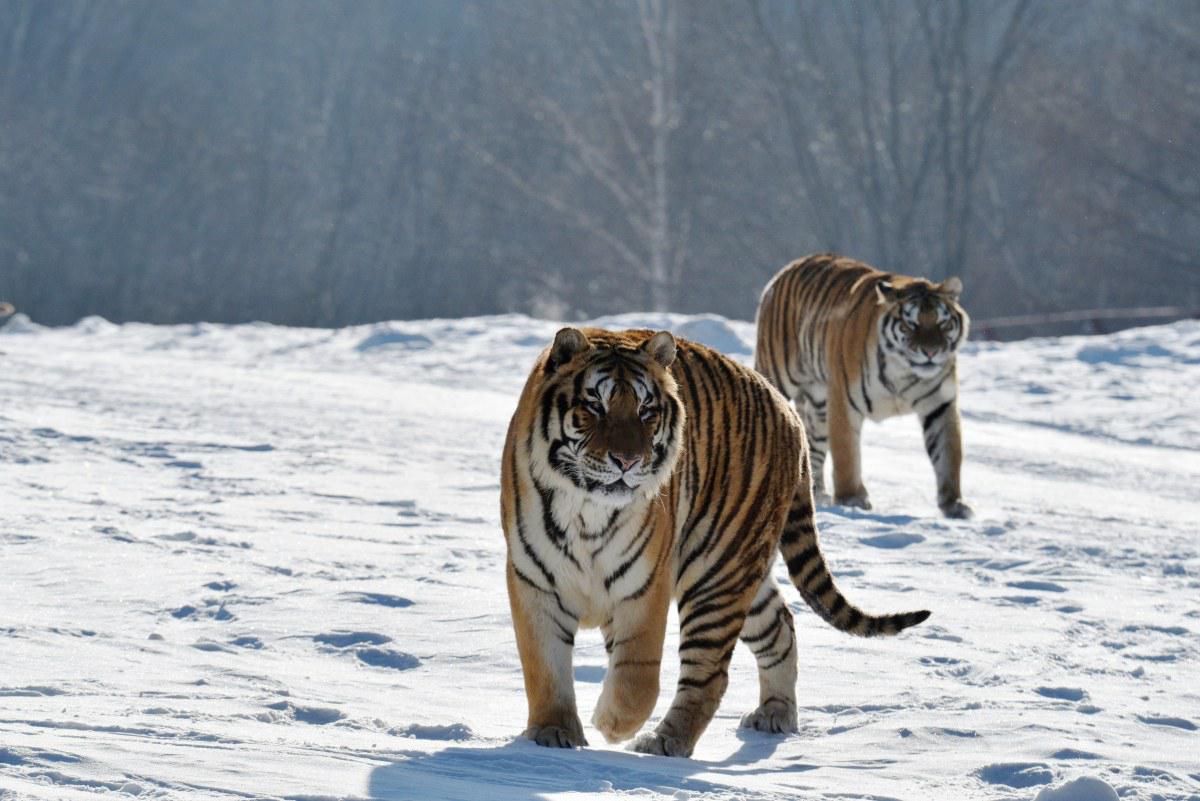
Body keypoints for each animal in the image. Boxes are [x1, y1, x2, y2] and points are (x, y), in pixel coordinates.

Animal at [496, 326, 926, 757]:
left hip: (717, 574)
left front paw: (612, 724)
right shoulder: (534, 578)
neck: (588, 510)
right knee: (780, 627)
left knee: (710, 673)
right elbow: (545, 665)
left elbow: (637, 675)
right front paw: (553, 733)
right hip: (739, 575)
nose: (628, 461)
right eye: (595, 407)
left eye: (646, 410)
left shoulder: (646, 584)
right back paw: (774, 715)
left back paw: (665, 741)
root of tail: (790, 413)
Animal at [758, 253, 974, 522]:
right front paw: (852, 499)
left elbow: (949, 455)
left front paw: (954, 505)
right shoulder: (844, 402)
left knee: (812, 445)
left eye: (943, 324)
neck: (903, 371)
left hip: (819, 404)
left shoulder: (940, 406)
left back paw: (817, 493)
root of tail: (789, 267)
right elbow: (847, 456)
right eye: (910, 324)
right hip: (778, 376)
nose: (931, 352)